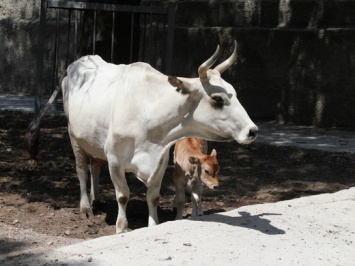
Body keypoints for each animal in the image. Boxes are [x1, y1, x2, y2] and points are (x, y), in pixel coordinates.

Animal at [25, 40, 258, 234]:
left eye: (235, 93)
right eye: (217, 98)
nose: (252, 130)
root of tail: (76, 63)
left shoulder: (161, 160)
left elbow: (153, 197)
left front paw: (153, 224)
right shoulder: (115, 159)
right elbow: (123, 195)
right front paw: (121, 227)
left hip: (96, 141)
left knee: (95, 167)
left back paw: (97, 199)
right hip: (74, 136)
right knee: (82, 170)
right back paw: (85, 207)